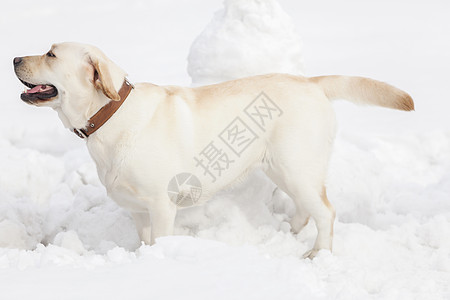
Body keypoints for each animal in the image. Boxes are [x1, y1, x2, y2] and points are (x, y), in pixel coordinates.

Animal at [13, 42, 414, 258]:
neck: (109, 115)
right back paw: (293, 231)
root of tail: (311, 82)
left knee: (327, 212)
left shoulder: (161, 205)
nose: (15, 58)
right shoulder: (138, 210)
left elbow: (161, 241)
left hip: (296, 167)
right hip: (283, 168)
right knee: (307, 208)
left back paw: (319, 253)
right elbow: (144, 242)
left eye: (50, 54)